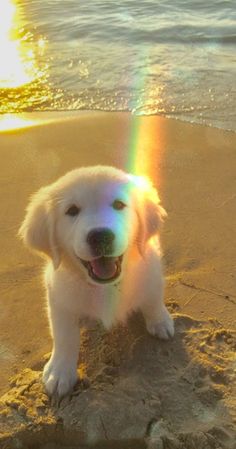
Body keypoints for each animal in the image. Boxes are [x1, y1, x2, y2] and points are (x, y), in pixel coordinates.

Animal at [19, 164, 174, 396]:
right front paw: (60, 371)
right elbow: (64, 335)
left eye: (119, 204)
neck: (105, 287)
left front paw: (160, 321)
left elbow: (153, 299)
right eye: (72, 210)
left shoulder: (152, 271)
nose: (100, 236)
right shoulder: (59, 297)